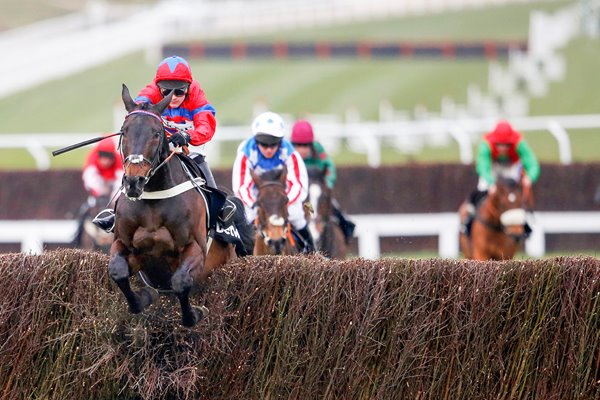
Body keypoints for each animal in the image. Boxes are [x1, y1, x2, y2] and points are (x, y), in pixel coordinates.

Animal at [109, 85, 252, 328]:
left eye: (157, 133)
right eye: (124, 131)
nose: (134, 181)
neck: (153, 199)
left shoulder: (195, 249)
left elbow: (180, 281)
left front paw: (194, 314)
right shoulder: (126, 245)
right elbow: (117, 272)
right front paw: (145, 297)